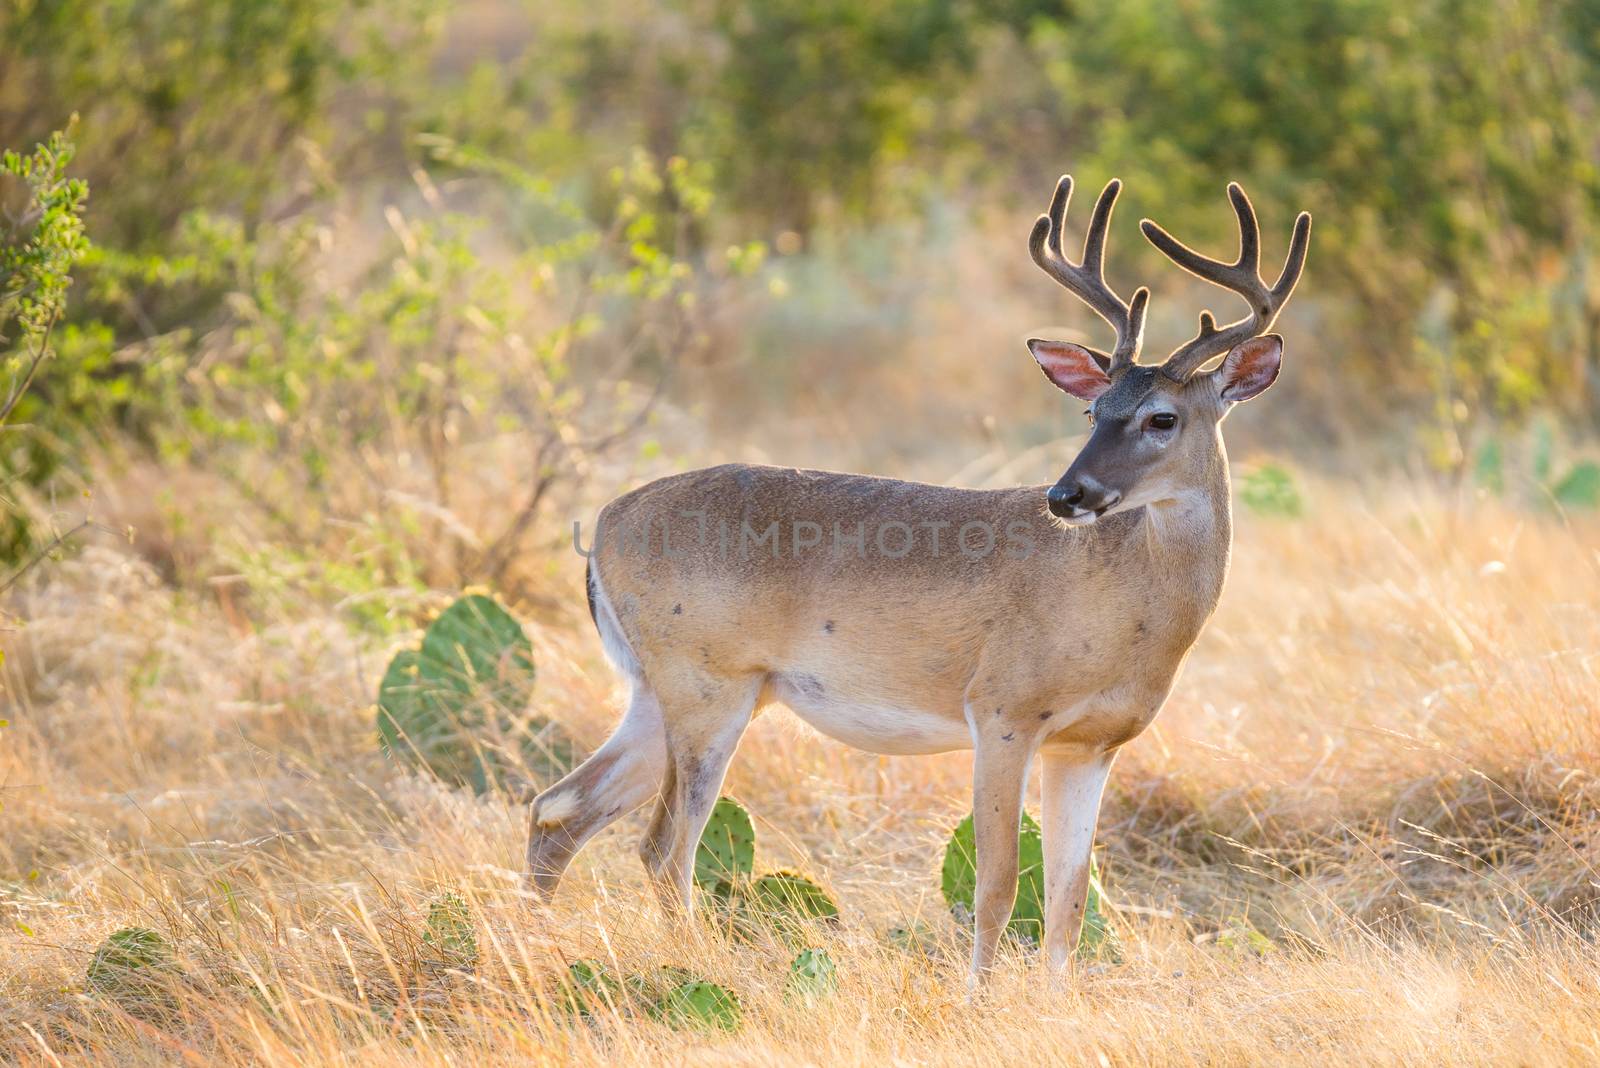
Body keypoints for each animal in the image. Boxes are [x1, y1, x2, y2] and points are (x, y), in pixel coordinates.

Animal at [531, 173, 1305, 978]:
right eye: (1093, 408)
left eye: (1161, 418)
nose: (1066, 495)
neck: (1128, 608)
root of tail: (606, 523)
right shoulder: (1001, 709)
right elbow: (999, 885)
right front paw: (980, 999)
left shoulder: (1091, 744)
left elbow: (1069, 901)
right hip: (707, 682)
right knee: (662, 847)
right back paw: (693, 967)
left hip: (663, 689)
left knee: (560, 808)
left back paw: (539, 941)